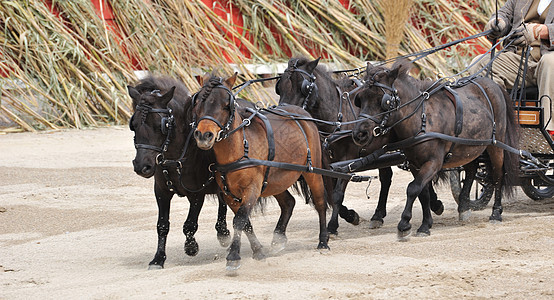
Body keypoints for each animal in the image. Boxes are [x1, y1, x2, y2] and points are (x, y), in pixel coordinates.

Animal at [128, 75, 230, 270]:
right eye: (133, 125)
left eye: (160, 125)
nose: (141, 166)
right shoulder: (161, 191)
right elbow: (162, 225)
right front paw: (158, 259)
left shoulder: (197, 194)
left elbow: (189, 225)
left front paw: (191, 247)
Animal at [192, 72, 330, 272]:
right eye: (198, 103)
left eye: (227, 104)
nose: (204, 135)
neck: (240, 149)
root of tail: (303, 114)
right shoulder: (229, 195)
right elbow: (246, 223)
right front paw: (258, 251)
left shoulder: (252, 189)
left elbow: (240, 220)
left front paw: (233, 256)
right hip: (275, 180)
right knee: (288, 203)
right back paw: (278, 239)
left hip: (312, 171)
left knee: (320, 202)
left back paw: (323, 241)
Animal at [276, 56, 444, 234]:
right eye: (279, 87)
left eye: (304, 87)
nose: (284, 114)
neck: (338, 115)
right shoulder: (329, 162)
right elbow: (331, 193)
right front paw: (350, 215)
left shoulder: (347, 158)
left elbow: (337, 194)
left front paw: (333, 225)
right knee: (388, 177)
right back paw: (379, 215)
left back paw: (434, 204)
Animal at [352, 60, 520, 239]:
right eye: (360, 99)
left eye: (383, 100)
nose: (359, 134)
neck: (421, 118)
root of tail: (493, 84)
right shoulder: (415, 164)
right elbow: (422, 192)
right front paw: (425, 224)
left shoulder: (433, 162)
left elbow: (412, 188)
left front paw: (404, 224)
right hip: (468, 148)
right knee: (471, 170)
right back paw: (464, 207)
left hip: (496, 145)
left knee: (497, 175)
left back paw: (496, 213)